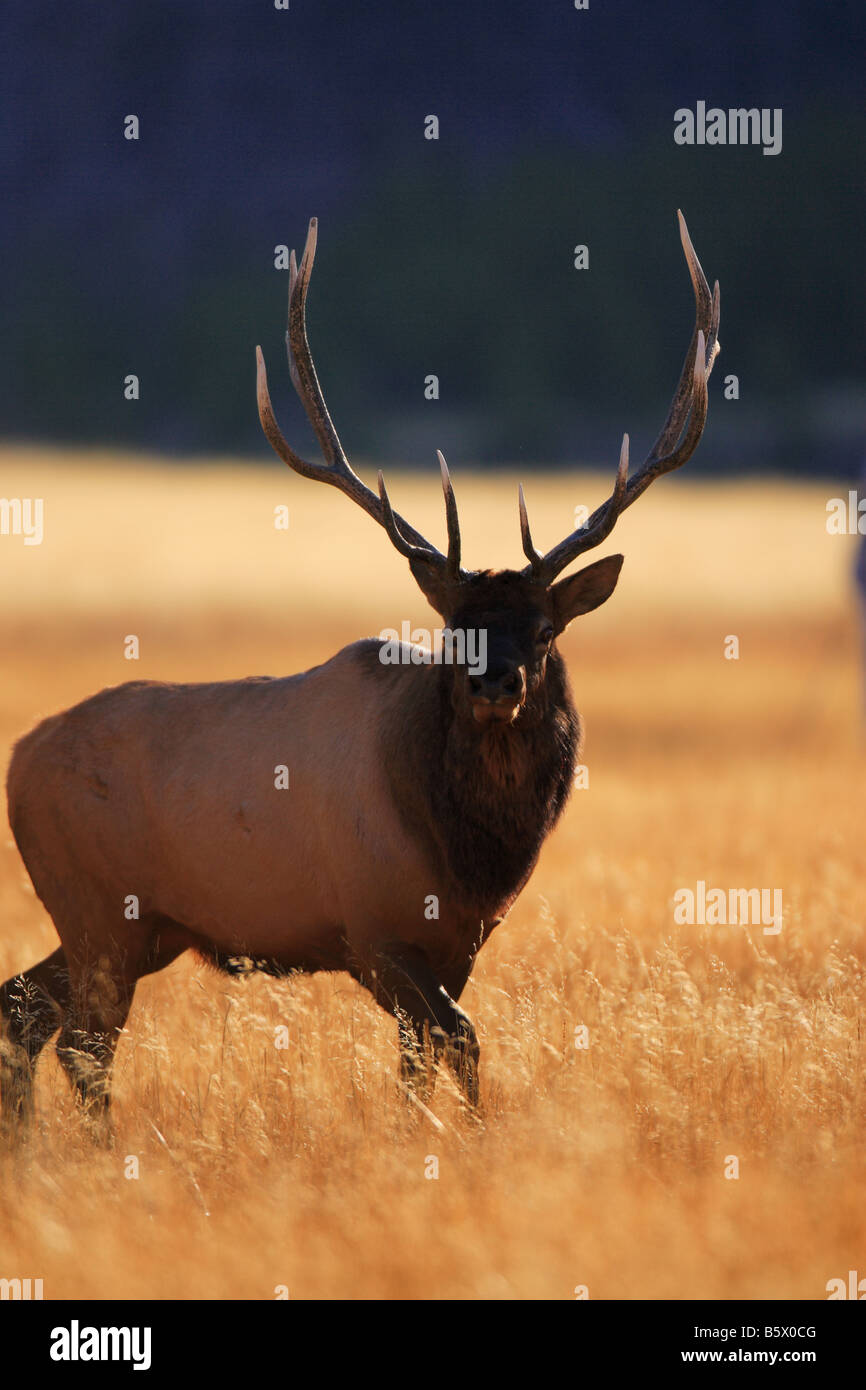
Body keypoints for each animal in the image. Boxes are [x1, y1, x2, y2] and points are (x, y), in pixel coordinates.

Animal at [1, 214, 717, 1128]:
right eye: (454, 628)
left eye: (545, 628)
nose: (496, 685)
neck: (471, 857)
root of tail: (18, 759)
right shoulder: (373, 929)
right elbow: (461, 1040)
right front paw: (474, 1137)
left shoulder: (458, 944)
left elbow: (421, 1060)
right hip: (99, 909)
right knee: (81, 1046)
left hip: (139, 925)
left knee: (20, 1007)